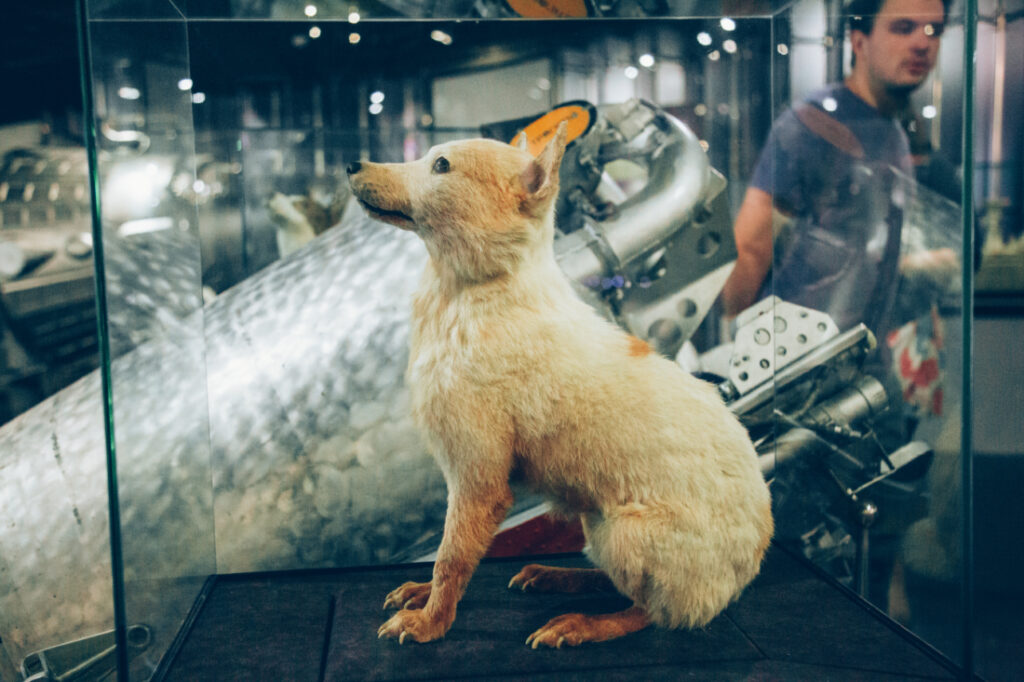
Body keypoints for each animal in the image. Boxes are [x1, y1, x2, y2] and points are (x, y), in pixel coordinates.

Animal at [348, 122, 770, 647]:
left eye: (440, 165)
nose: (351, 164)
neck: (472, 294)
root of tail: (748, 568)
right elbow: (446, 558)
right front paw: (419, 596)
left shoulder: (478, 479)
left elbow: (452, 556)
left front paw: (429, 622)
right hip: (595, 524)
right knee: (615, 584)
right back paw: (555, 575)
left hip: (625, 533)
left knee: (650, 613)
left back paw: (579, 624)